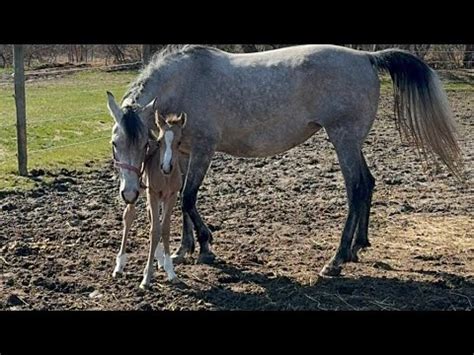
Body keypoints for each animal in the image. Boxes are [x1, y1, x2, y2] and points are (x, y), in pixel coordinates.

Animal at [105, 45, 462, 278]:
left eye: (145, 143)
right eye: (114, 144)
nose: (129, 194)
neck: (186, 81)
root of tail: (366, 57)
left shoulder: (204, 150)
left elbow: (190, 199)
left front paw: (206, 246)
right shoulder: (182, 152)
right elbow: (181, 200)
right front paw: (184, 249)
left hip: (343, 139)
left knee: (357, 188)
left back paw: (337, 259)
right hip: (351, 141)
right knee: (369, 183)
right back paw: (358, 246)